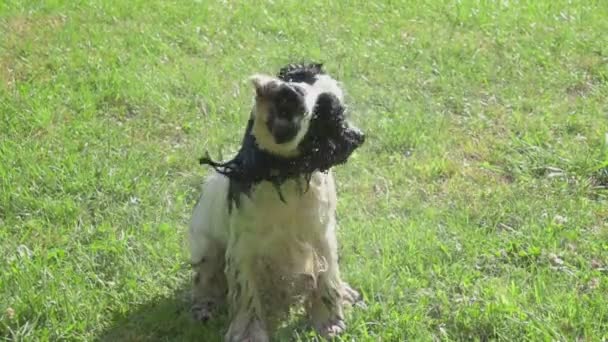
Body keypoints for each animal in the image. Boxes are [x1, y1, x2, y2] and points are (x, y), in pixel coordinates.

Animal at [188, 65, 364, 342]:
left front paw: (330, 322)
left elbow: (327, 277)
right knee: (203, 280)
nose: (286, 92)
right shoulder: (243, 248)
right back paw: (204, 307)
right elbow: (246, 294)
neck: (282, 175)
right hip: (205, 246)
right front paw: (248, 333)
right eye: (295, 77)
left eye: (325, 112)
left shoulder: (320, 236)